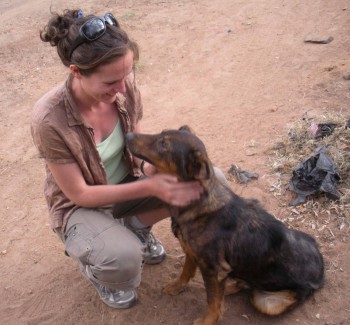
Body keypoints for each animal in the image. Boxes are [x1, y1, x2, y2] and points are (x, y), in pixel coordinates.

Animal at [124, 125, 324, 324]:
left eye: (163, 144)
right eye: (161, 133)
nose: (127, 135)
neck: (197, 204)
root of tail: (320, 277)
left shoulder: (214, 269)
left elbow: (212, 301)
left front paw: (207, 321)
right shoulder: (192, 253)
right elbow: (186, 272)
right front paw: (177, 287)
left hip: (269, 303)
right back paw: (230, 285)